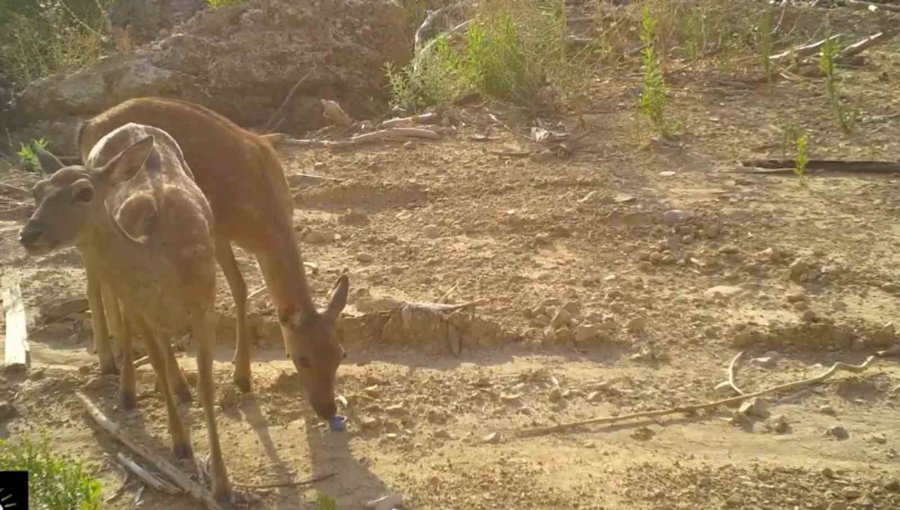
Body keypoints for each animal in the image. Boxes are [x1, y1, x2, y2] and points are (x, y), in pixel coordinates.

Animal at [21, 122, 234, 502]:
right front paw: (181, 445)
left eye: (84, 192)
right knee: (103, 296)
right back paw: (126, 389)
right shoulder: (140, 307)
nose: (29, 234)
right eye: (37, 190)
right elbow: (157, 362)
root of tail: (129, 127)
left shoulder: (206, 304)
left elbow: (207, 385)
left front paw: (223, 486)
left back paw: (178, 387)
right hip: (100, 271)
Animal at [73, 96, 348, 422]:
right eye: (302, 358)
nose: (327, 409)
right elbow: (240, 287)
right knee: (93, 279)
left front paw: (242, 376)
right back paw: (108, 361)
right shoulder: (217, 230)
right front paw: (241, 376)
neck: (264, 217)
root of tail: (87, 126)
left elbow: (241, 289)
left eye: (340, 354)